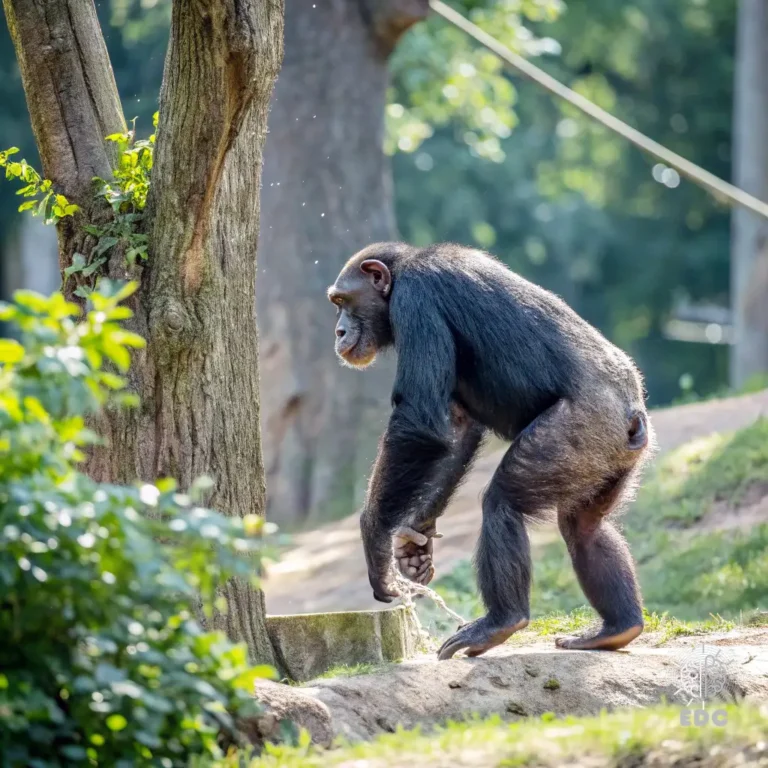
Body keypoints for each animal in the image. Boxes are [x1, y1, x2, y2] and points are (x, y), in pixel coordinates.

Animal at [326, 242, 656, 660]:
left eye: (343, 301)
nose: (339, 330)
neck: (401, 273)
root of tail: (633, 417)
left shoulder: (417, 300)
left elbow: (420, 421)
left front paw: (376, 542)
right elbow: (455, 427)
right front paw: (414, 543)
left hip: (579, 430)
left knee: (503, 503)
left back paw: (500, 623)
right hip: (610, 461)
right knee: (584, 528)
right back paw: (616, 629)